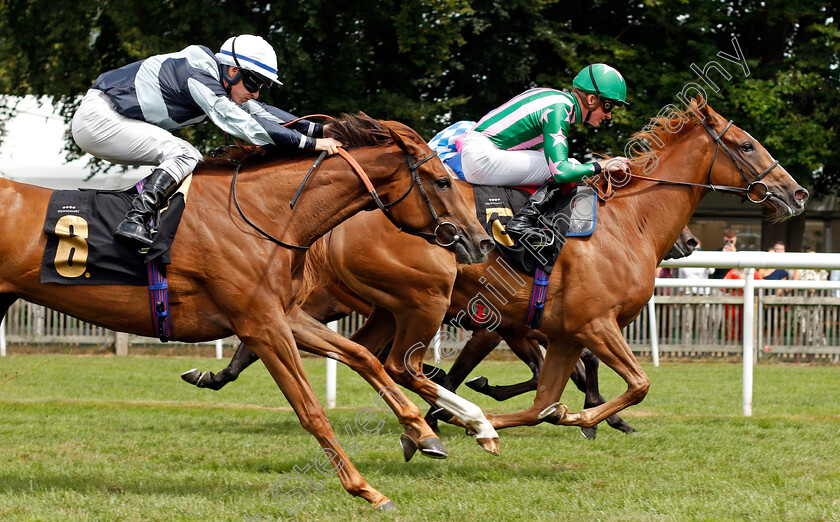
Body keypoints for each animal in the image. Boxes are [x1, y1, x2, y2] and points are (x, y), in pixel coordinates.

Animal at [0, 114, 492, 508]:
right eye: (443, 181)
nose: (482, 241)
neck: (266, 215)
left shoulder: (285, 315)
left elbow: (364, 357)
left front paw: (435, 430)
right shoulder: (261, 325)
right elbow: (311, 408)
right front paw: (366, 489)